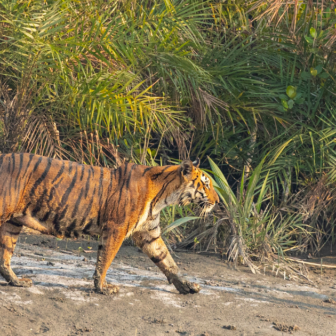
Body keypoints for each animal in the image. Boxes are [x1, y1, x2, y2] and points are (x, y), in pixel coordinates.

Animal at [0, 154, 219, 294]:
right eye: (206, 184)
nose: (217, 201)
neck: (164, 196)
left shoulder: (149, 233)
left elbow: (167, 260)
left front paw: (187, 286)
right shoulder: (117, 228)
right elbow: (105, 259)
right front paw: (102, 288)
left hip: (12, 224)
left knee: (4, 258)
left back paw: (17, 282)